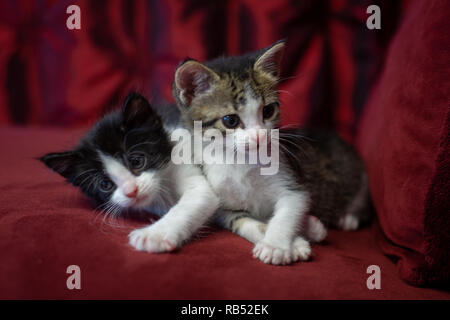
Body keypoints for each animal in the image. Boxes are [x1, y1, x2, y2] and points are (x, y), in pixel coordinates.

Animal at [171, 40, 370, 264]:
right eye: (230, 120)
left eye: (268, 110)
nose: (259, 137)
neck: (239, 161)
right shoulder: (223, 206)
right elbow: (244, 221)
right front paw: (298, 239)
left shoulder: (291, 182)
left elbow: (289, 209)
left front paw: (275, 246)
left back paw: (348, 218)